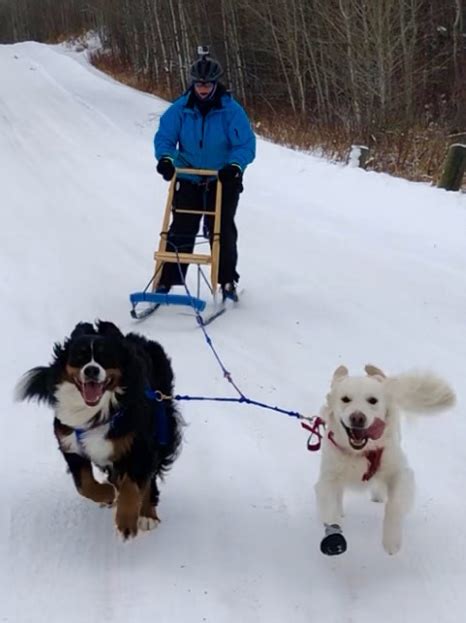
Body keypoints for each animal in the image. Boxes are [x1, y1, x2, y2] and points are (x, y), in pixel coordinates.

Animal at [15, 322, 182, 540]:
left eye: (105, 356)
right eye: (80, 356)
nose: (92, 370)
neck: (97, 410)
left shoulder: (140, 446)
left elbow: (132, 486)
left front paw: (126, 523)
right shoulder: (70, 444)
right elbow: (84, 485)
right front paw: (108, 494)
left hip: (162, 426)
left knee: (148, 478)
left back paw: (147, 514)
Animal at [314, 364, 456, 560]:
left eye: (372, 400)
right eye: (345, 399)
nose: (357, 417)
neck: (360, 453)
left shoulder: (401, 472)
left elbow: (394, 505)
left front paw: (391, 541)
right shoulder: (328, 478)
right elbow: (329, 509)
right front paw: (334, 537)